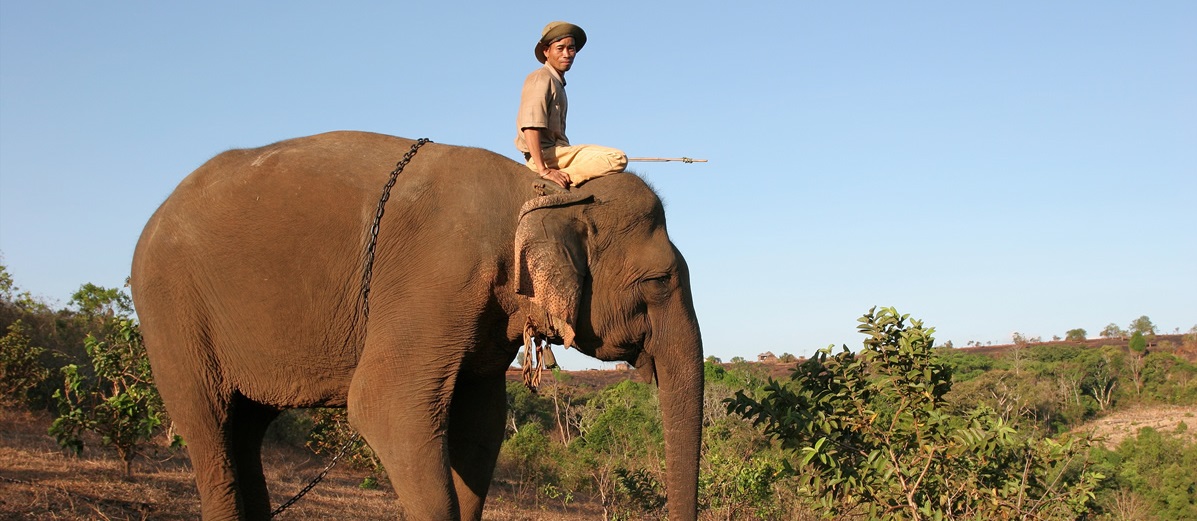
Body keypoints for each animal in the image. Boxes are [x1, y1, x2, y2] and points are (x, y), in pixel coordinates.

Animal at [129, 131, 703, 520]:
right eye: (658, 282)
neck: (539, 189)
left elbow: (481, 423)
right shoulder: (438, 277)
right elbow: (384, 404)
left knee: (244, 429)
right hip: (171, 310)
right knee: (210, 427)